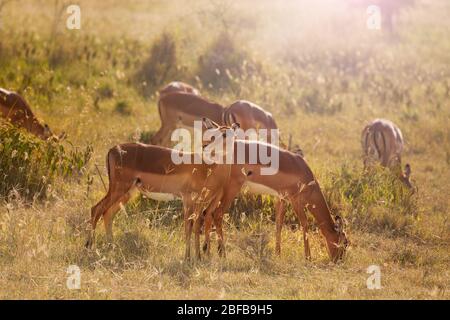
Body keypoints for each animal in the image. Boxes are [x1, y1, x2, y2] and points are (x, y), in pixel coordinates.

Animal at [85, 119, 239, 262]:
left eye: (225, 134)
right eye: (213, 134)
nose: (205, 145)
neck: (207, 168)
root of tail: (113, 149)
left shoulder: (200, 202)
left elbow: (196, 226)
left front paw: (198, 257)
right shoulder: (187, 199)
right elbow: (188, 227)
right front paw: (187, 258)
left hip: (127, 193)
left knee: (107, 214)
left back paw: (111, 246)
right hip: (119, 189)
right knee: (96, 209)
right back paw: (89, 246)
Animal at [202, 140, 350, 262]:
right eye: (345, 242)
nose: (338, 261)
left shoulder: (281, 199)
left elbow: (279, 224)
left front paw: (278, 254)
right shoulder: (295, 200)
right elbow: (305, 224)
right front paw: (308, 257)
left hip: (218, 190)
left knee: (207, 213)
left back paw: (207, 252)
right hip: (231, 189)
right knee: (217, 214)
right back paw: (222, 254)